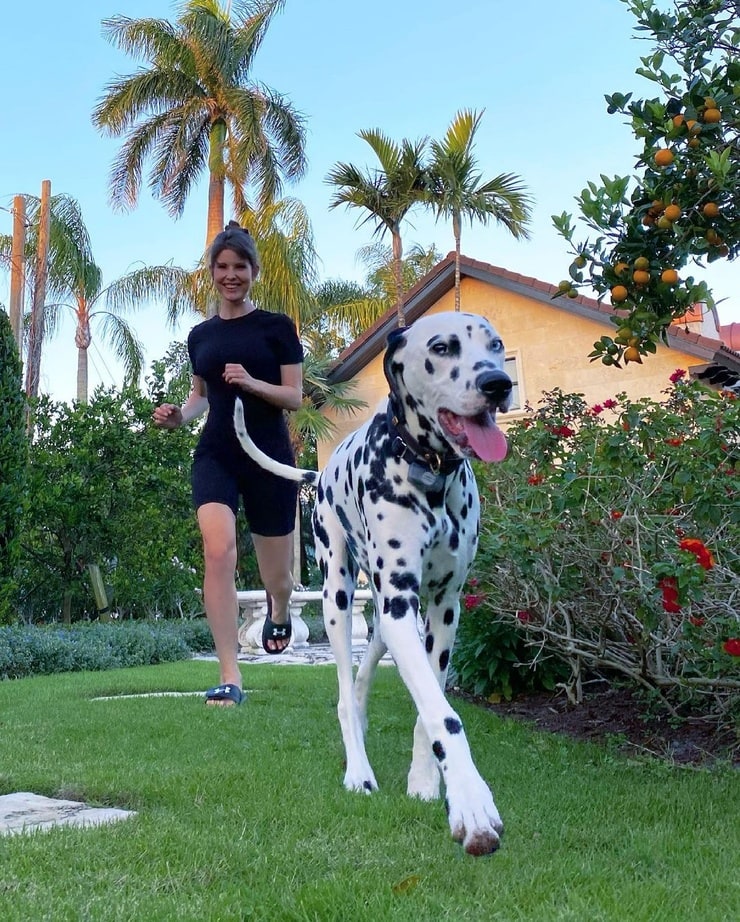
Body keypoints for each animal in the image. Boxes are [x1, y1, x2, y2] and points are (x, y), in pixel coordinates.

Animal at [234, 310, 512, 856]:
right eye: (443, 347)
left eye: (495, 346)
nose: (499, 383)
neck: (430, 474)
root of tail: (318, 475)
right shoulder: (401, 606)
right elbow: (444, 714)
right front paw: (472, 803)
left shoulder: (441, 610)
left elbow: (430, 705)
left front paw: (426, 782)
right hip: (338, 598)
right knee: (344, 687)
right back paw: (358, 770)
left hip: (384, 619)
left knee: (363, 678)